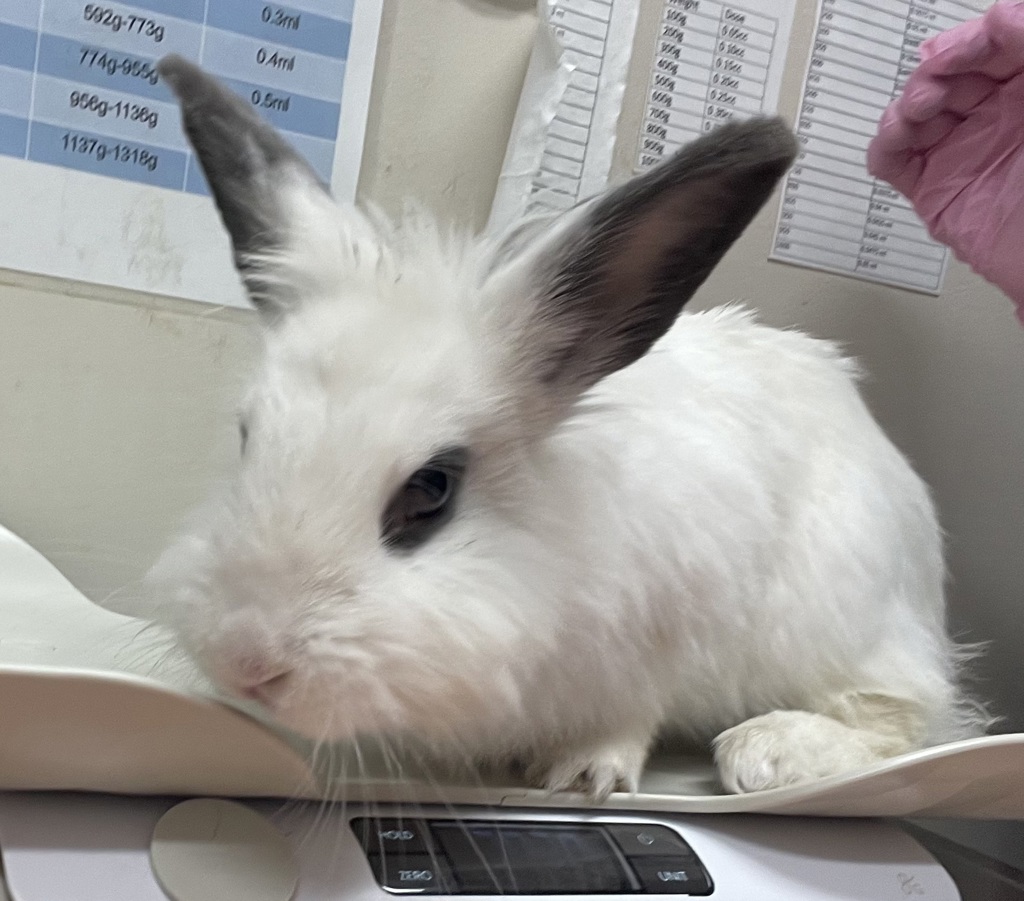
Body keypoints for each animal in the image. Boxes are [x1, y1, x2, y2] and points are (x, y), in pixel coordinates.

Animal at [147, 55, 988, 800]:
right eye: (249, 438)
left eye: (432, 489)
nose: (246, 660)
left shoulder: (664, 626)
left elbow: (627, 715)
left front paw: (584, 773)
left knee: (910, 715)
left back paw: (767, 750)